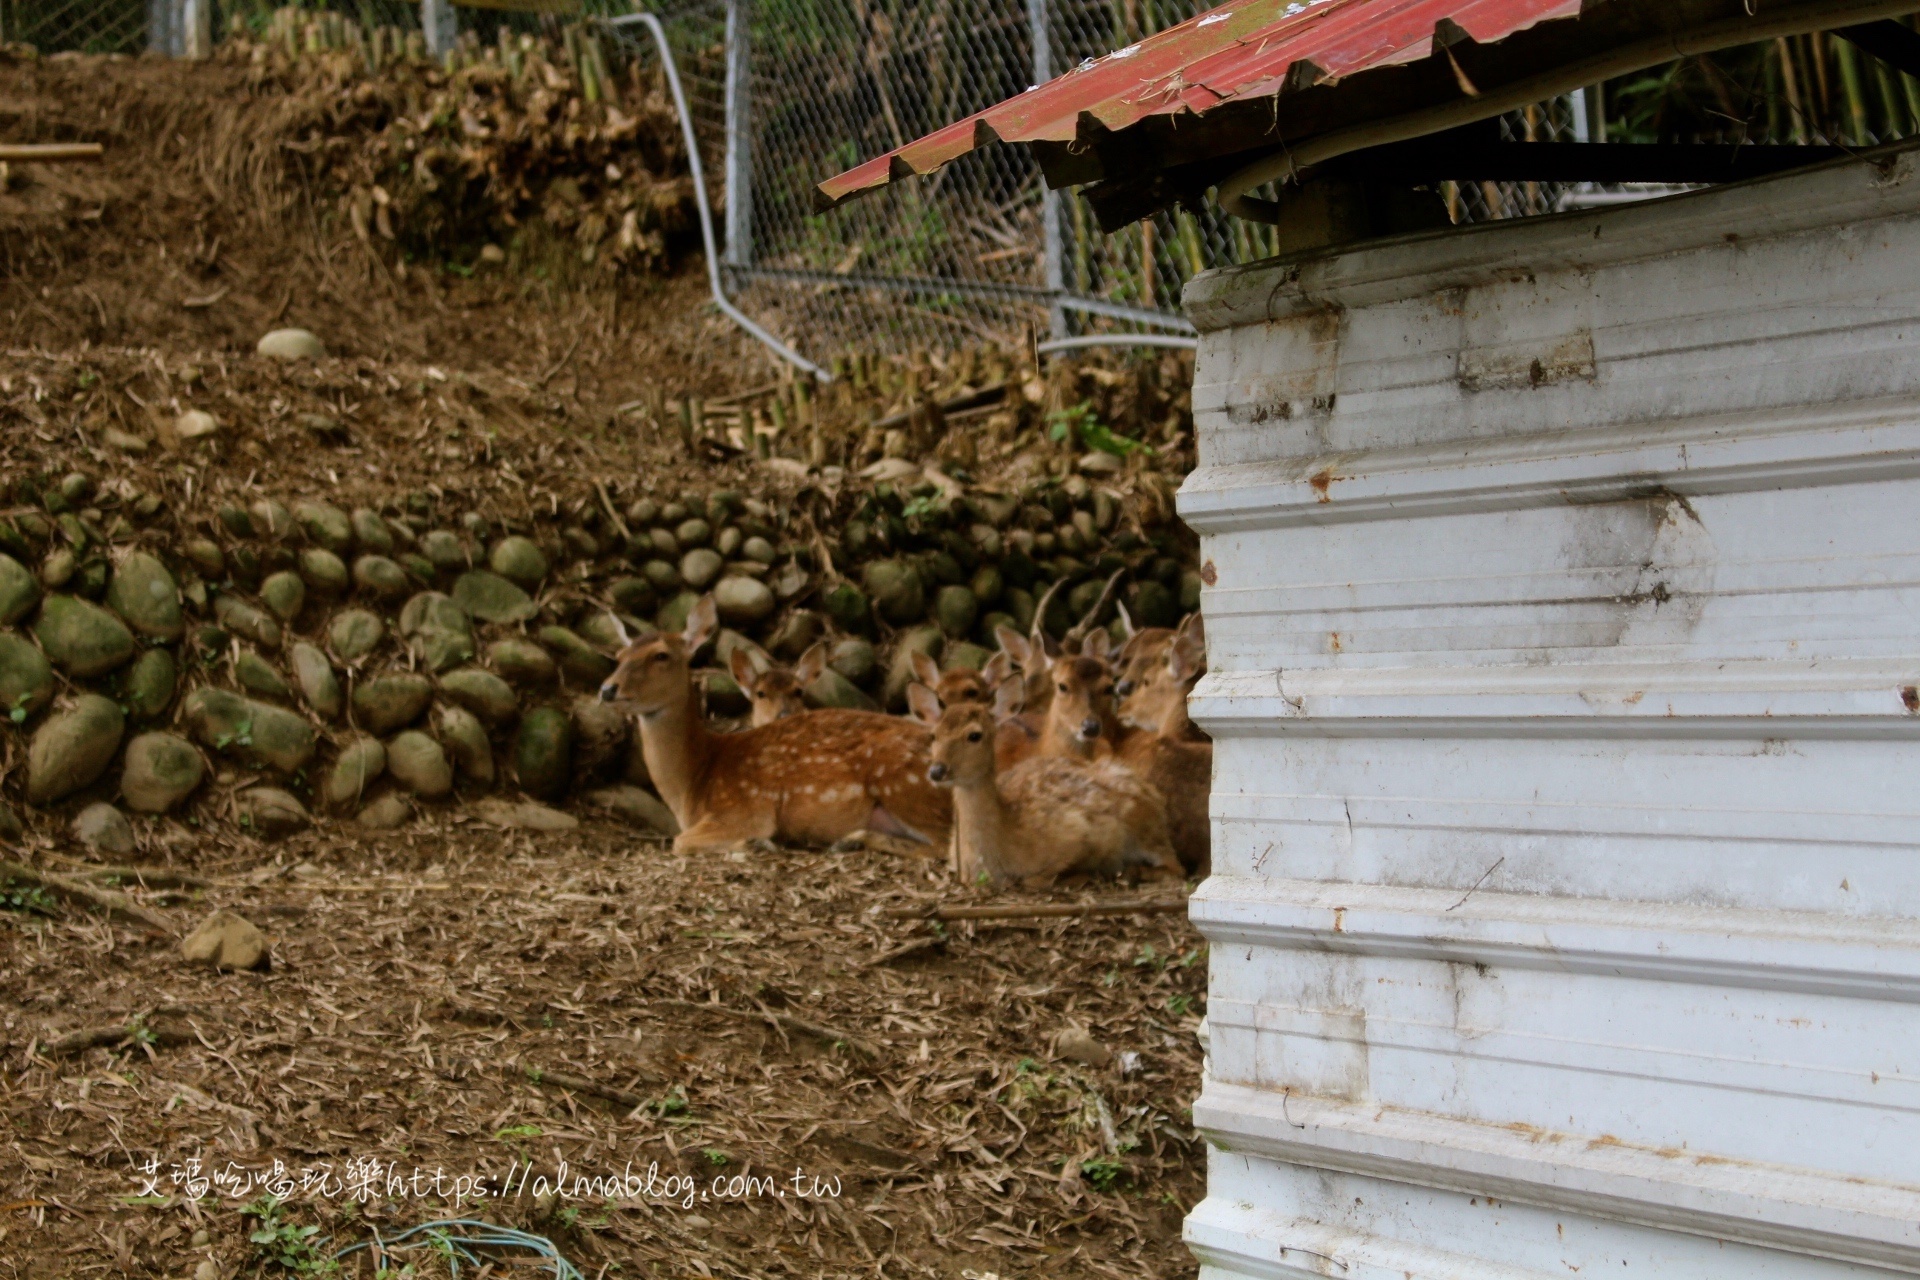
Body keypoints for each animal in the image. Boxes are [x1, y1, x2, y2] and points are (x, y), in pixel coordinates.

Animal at [600, 598, 950, 855]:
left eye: (660, 655)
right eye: (619, 655)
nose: (607, 689)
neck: (694, 784)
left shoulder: (745, 808)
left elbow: (679, 842)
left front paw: (757, 843)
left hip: (903, 784)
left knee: (945, 847)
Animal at [921, 699, 1181, 889]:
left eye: (974, 735)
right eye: (933, 735)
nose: (937, 770)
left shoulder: (1080, 835)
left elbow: (1034, 879)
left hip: (1146, 829)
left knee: (1176, 867)